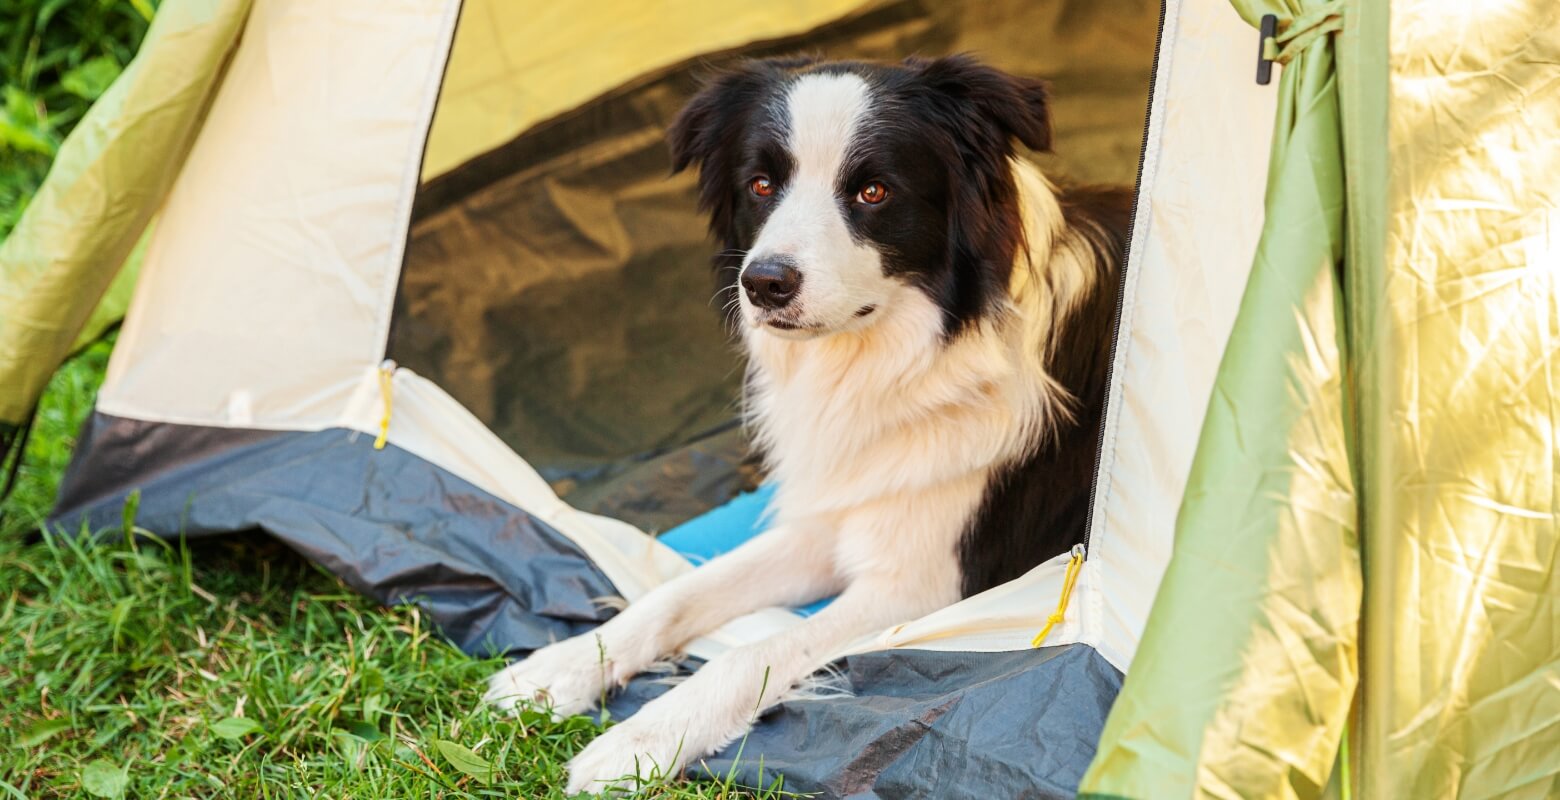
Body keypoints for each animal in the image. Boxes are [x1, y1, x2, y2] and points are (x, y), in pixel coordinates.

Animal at [483, 56, 1123, 792]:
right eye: (760, 185)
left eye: (874, 190)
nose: (764, 283)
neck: (904, 357)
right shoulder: (838, 507)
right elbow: (675, 595)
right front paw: (553, 672)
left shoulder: (930, 585)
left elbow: (754, 650)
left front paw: (639, 743)